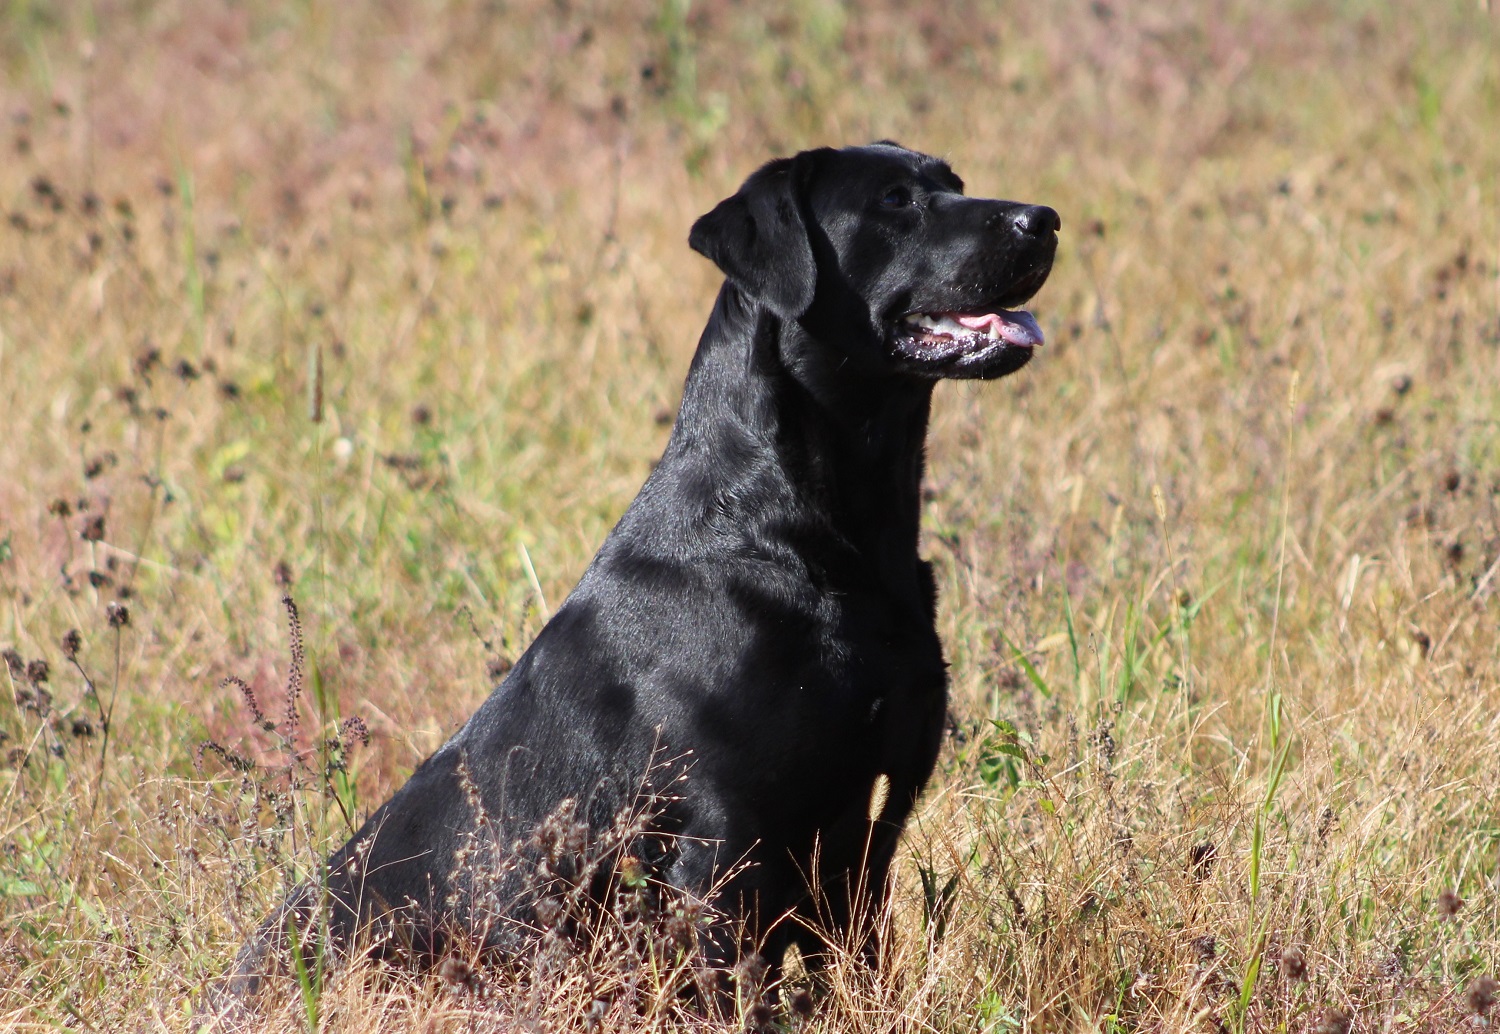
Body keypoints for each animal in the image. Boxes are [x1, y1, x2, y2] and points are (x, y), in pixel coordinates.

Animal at [217, 141, 1056, 1002]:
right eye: (894, 200)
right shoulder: (722, 836)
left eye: (953, 185)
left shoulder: (867, 822)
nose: (1044, 218)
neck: (808, 527)